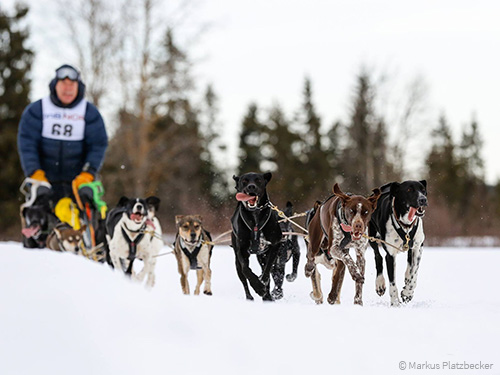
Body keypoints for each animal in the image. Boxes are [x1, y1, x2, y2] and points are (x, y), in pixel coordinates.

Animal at [229, 172, 282, 302]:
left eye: (258, 180)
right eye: (244, 181)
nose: (251, 187)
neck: (255, 216)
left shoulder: (275, 244)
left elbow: (267, 268)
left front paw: (262, 282)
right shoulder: (241, 251)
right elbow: (246, 270)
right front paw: (258, 287)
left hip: (262, 256)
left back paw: (267, 297)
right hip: (237, 263)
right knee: (244, 280)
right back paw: (250, 297)